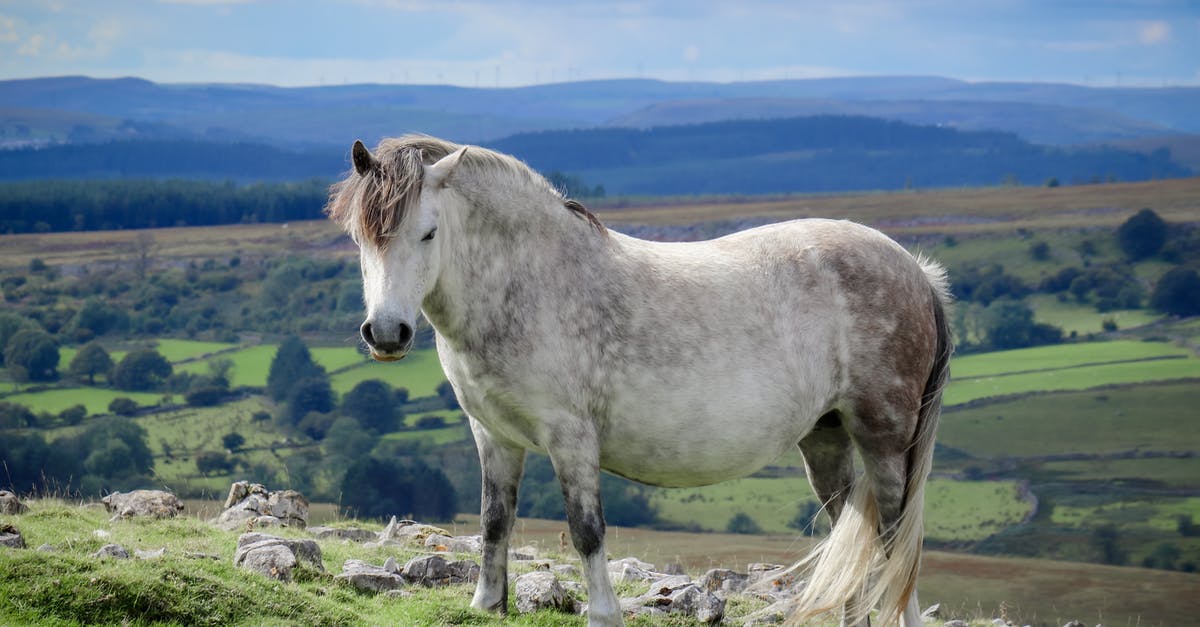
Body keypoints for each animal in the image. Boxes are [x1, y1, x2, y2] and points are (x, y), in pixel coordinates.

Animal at [324, 133, 950, 619]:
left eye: (428, 232)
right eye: (360, 237)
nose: (386, 334)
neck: (529, 283)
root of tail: (917, 271)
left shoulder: (571, 438)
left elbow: (587, 530)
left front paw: (604, 613)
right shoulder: (494, 436)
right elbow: (494, 520)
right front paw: (486, 603)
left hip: (885, 440)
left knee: (894, 545)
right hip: (825, 438)